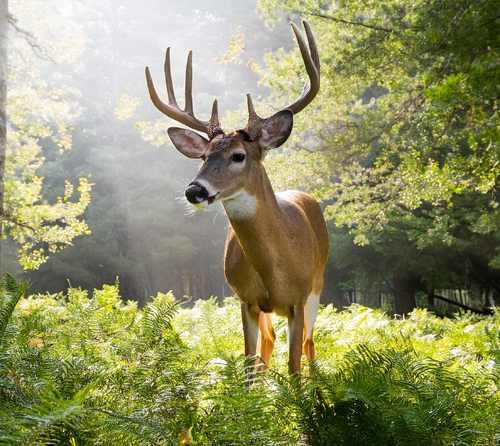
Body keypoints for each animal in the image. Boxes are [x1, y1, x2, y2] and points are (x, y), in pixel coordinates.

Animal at [146, 21, 328, 376]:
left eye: (239, 156)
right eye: (203, 156)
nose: (195, 190)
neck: (274, 267)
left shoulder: (299, 299)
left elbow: (294, 367)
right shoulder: (246, 299)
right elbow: (246, 362)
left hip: (319, 284)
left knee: (310, 344)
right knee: (268, 344)